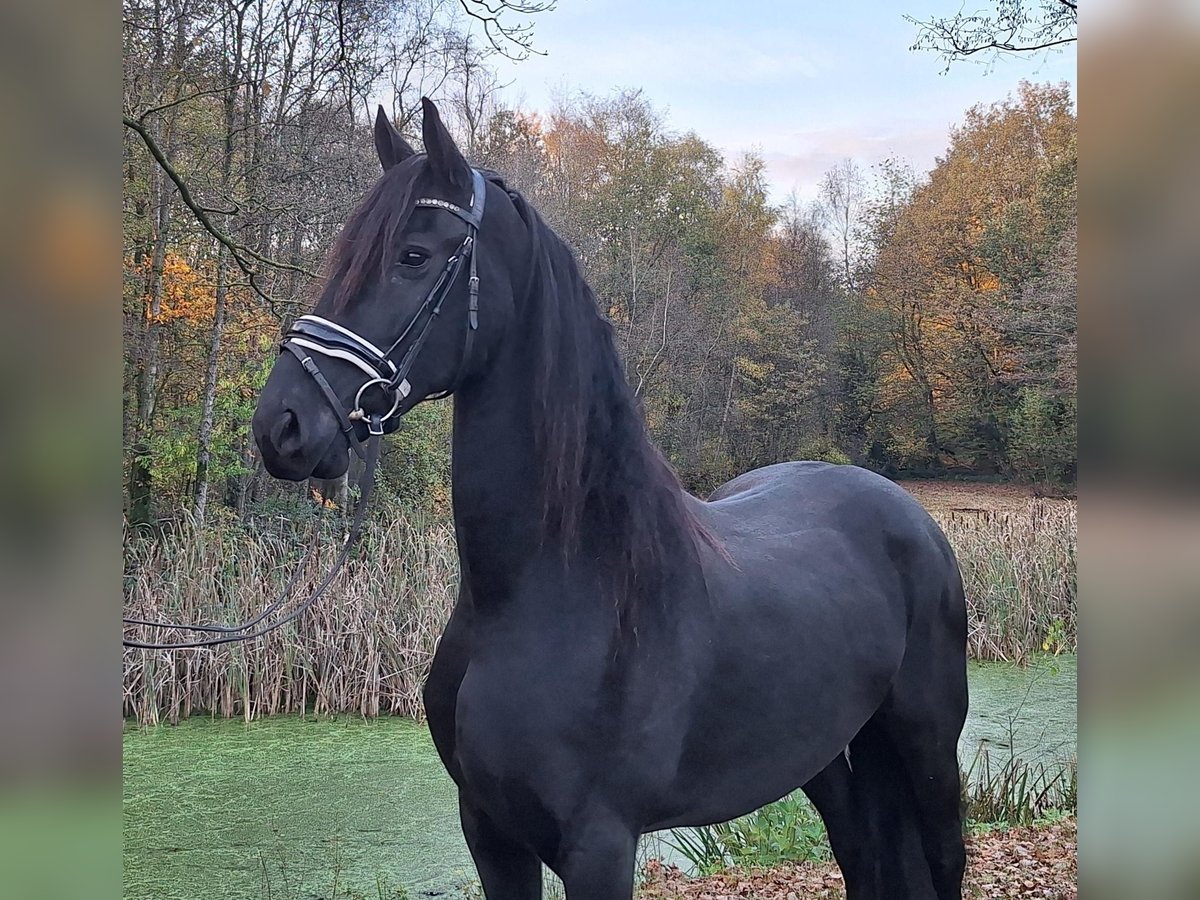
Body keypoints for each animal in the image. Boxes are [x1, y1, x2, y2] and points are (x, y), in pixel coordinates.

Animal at [250, 100, 964, 900]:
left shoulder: (600, 845)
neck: (560, 587)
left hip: (928, 746)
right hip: (825, 757)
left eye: (412, 256)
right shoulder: (490, 832)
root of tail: (907, 511)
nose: (281, 424)